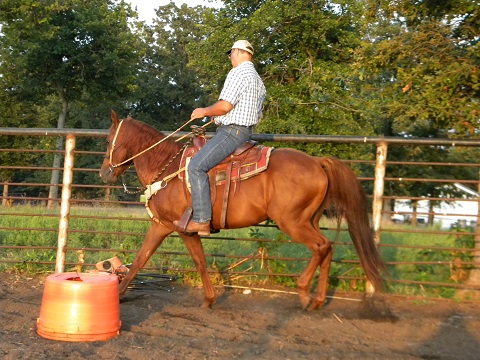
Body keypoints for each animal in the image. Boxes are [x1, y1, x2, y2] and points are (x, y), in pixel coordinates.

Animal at [100, 110, 386, 310]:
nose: (104, 173)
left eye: (108, 140)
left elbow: (182, 260)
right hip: (309, 220)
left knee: (321, 246)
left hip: (292, 222)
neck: (166, 166)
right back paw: (317, 300)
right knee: (328, 249)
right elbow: (147, 258)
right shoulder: (163, 226)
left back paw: (304, 292)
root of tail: (318, 162)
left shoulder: (179, 228)